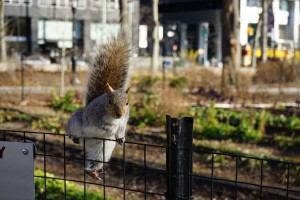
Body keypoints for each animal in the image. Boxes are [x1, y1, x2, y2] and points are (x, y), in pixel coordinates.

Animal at [66, 34, 129, 180]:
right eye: (110, 102)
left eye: (127, 103)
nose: (120, 113)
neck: (113, 119)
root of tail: (87, 141)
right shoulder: (94, 114)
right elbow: (100, 123)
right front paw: (109, 128)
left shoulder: (124, 121)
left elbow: (121, 129)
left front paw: (120, 138)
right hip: (76, 123)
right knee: (73, 132)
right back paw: (74, 137)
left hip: (103, 147)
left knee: (95, 159)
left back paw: (92, 171)